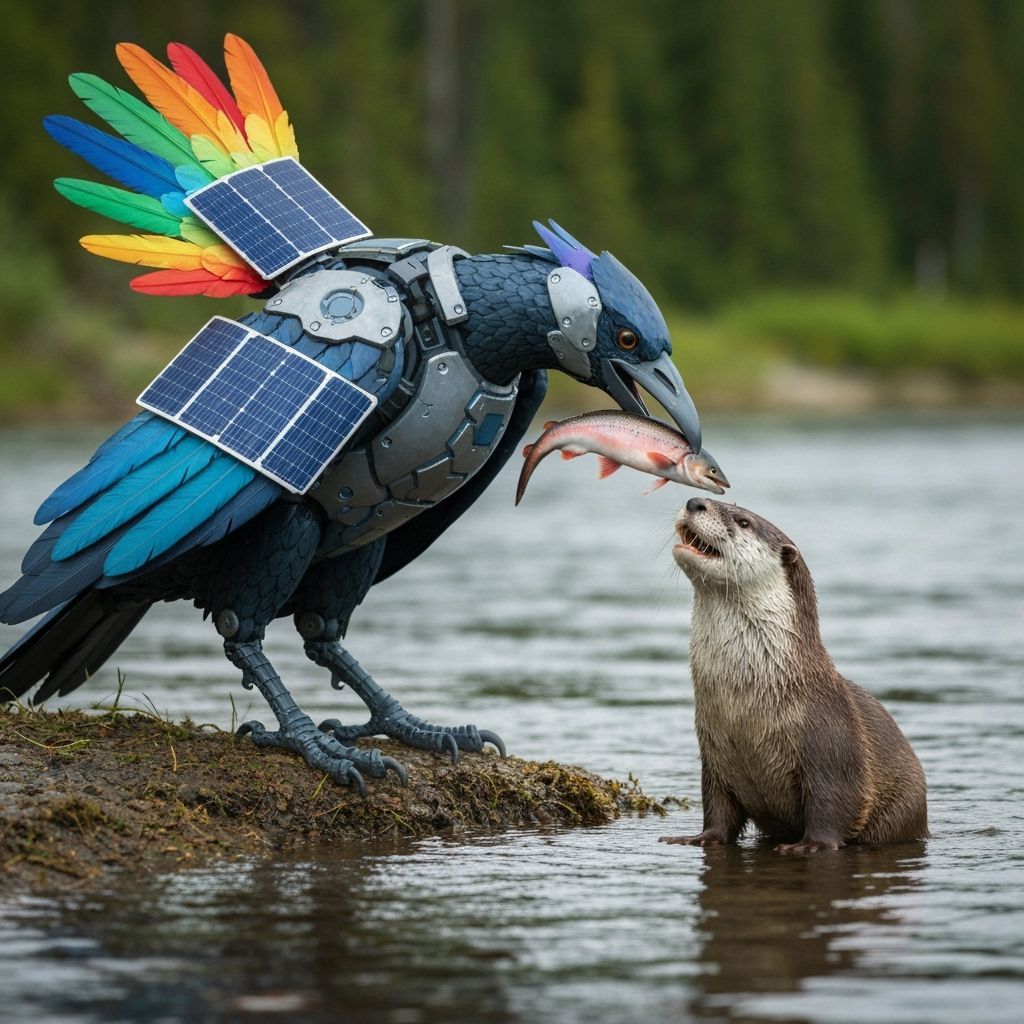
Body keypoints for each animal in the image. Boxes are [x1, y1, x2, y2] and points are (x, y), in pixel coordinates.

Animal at [661, 497, 928, 853]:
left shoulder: (830, 745)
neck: (747, 704)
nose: (695, 501)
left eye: (744, 521)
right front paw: (696, 838)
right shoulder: (714, 755)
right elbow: (717, 808)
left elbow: (833, 801)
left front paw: (809, 845)